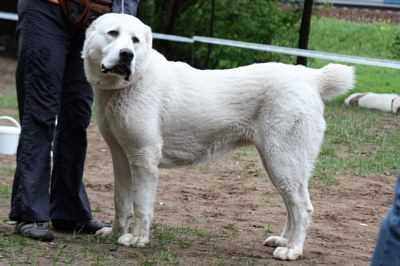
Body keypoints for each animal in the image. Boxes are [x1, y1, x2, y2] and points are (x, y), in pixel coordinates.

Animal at [80, 13, 354, 260]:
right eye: (113, 33)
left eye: (135, 40)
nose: (127, 54)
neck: (131, 82)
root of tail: (311, 77)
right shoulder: (121, 157)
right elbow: (121, 201)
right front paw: (114, 233)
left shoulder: (144, 158)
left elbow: (141, 205)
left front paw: (137, 239)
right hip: (280, 165)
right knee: (291, 205)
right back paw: (283, 240)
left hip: (283, 161)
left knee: (302, 207)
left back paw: (292, 250)